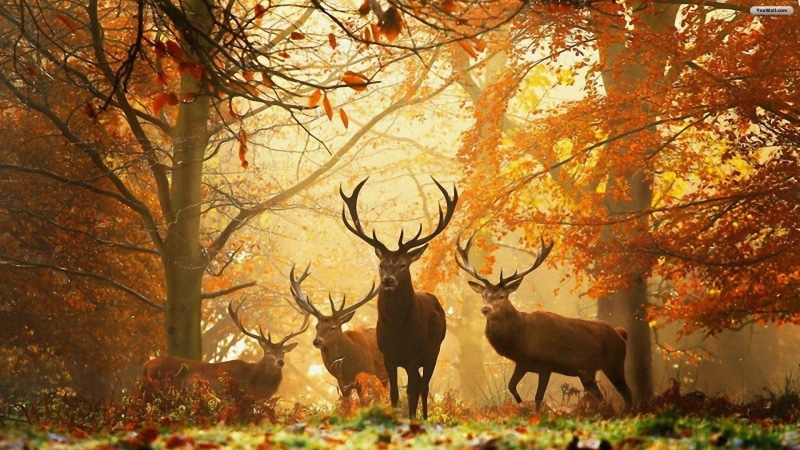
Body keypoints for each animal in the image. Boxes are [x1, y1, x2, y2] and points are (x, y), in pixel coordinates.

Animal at [288, 264, 388, 408]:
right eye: (317, 326)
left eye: (333, 327)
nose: (317, 341)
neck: (349, 367)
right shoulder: (342, 384)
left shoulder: (365, 375)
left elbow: (364, 402)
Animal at [340, 176, 458, 420]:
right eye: (382, 264)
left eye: (403, 264)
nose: (388, 280)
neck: (398, 331)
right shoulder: (388, 357)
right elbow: (394, 393)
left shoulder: (414, 356)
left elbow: (412, 392)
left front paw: (412, 419)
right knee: (420, 385)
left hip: (433, 352)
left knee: (424, 386)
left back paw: (424, 417)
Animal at [455, 234, 633, 412]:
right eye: (483, 295)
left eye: (501, 296)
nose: (485, 308)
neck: (521, 338)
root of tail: (621, 334)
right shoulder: (523, 363)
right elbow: (511, 386)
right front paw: (521, 406)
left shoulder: (546, 365)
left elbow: (538, 397)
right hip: (587, 371)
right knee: (599, 396)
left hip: (614, 362)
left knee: (627, 391)